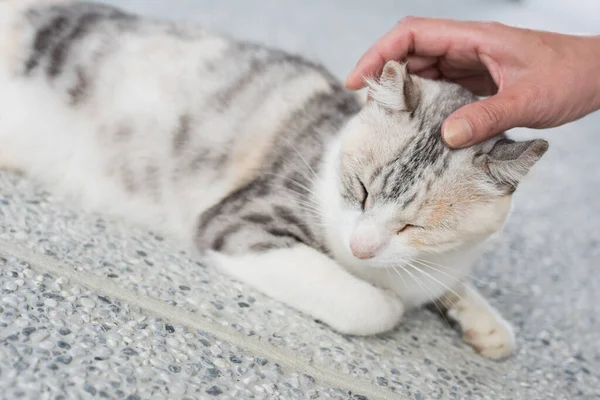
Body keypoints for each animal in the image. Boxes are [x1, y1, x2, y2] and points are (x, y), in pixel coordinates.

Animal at [0, 0, 548, 360]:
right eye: (361, 189)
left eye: (417, 227)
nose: (361, 248)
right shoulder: (242, 221)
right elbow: (374, 305)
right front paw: (390, 299)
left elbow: (452, 284)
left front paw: (484, 322)